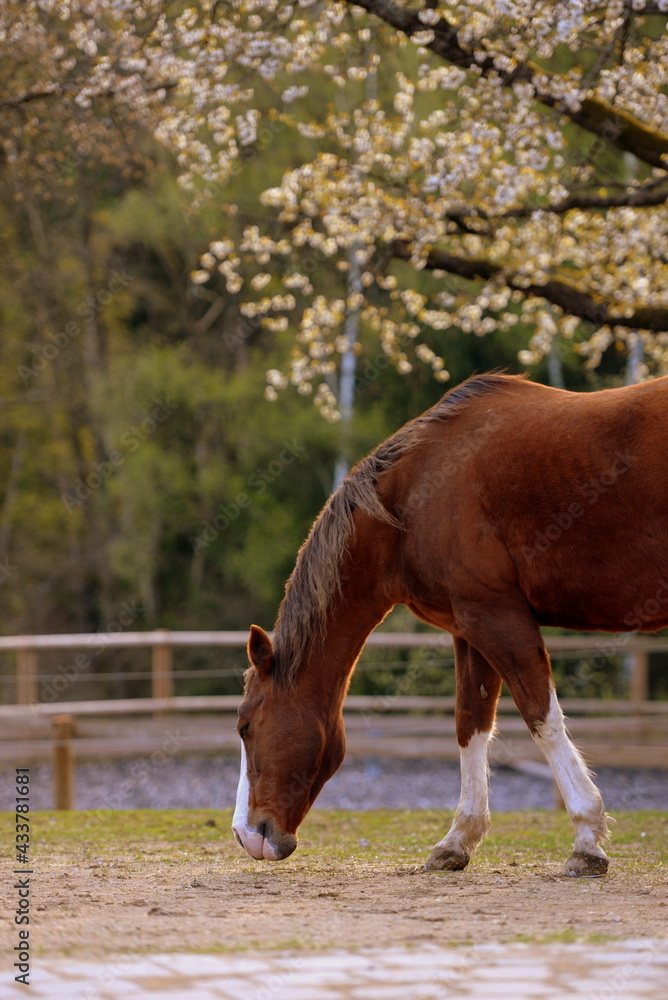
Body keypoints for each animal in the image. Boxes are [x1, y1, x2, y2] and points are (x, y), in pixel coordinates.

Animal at [233, 372, 668, 876]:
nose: (247, 834)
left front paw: (586, 839)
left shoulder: (496, 615)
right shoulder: (469, 628)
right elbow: (470, 722)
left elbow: (542, 716)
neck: (413, 498)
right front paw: (459, 838)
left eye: (245, 726)